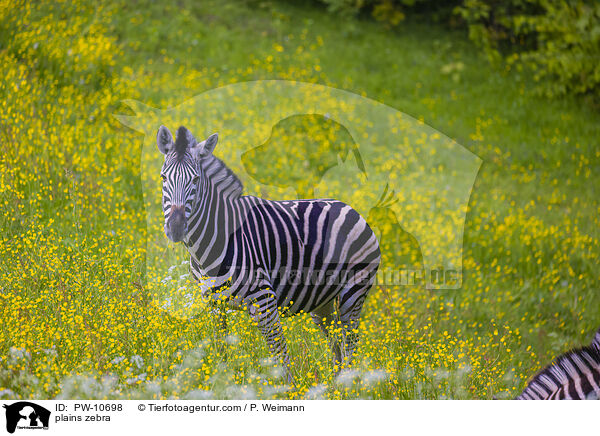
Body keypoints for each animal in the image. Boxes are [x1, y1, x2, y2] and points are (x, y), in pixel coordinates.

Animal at [155, 125, 380, 382]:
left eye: (195, 179)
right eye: (163, 178)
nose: (175, 227)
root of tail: (349, 207)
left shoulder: (265, 301)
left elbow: (280, 354)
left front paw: (289, 389)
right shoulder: (213, 304)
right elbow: (221, 351)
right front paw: (222, 383)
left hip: (353, 292)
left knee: (350, 343)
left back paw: (348, 384)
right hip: (322, 301)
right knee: (336, 344)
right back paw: (335, 385)